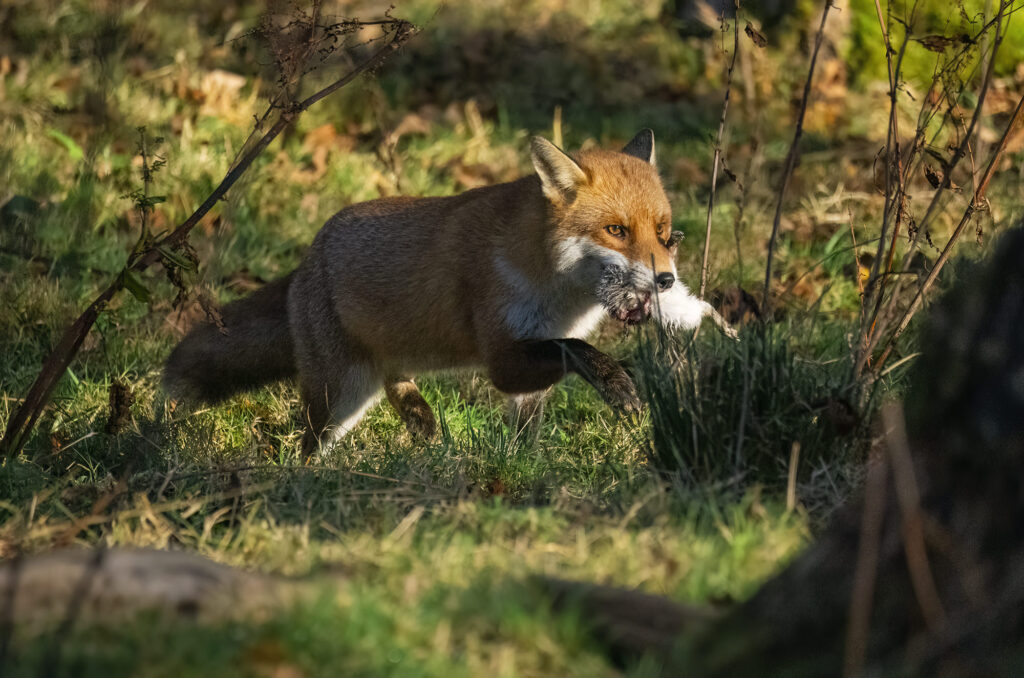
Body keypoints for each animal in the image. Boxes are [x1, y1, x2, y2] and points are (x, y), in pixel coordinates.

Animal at [163, 130, 729, 454]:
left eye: (664, 233)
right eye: (616, 230)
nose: (666, 281)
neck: (554, 289)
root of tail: (306, 259)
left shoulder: (528, 364)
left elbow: (528, 433)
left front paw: (524, 470)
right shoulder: (505, 356)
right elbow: (579, 350)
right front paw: (622, 382)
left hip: (372, 379)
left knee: (401, 395)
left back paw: (428, 439)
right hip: (338, 395)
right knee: (306, 443)